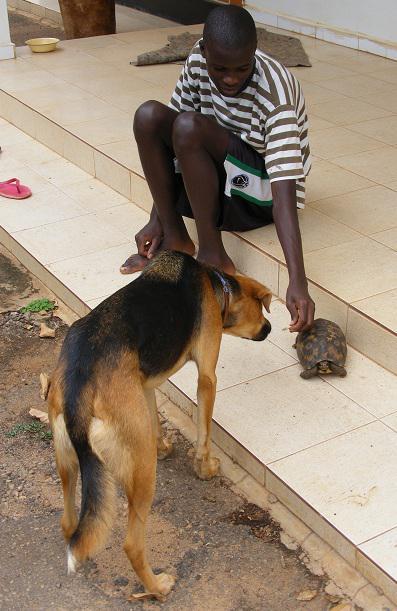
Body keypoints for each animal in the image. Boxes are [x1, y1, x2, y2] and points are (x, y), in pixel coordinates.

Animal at [45, 251, 270, 600]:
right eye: (260, 308)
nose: (270, 328)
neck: (215, 283)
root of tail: (79, 387)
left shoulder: (145, 384)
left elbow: (155, 419)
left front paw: (164, 446)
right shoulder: (207, 377)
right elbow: (204, 431)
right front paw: (204, 467)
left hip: (66, 459)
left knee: (69, 522)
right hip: (141, 472)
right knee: (132, 545)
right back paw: (157, 586)